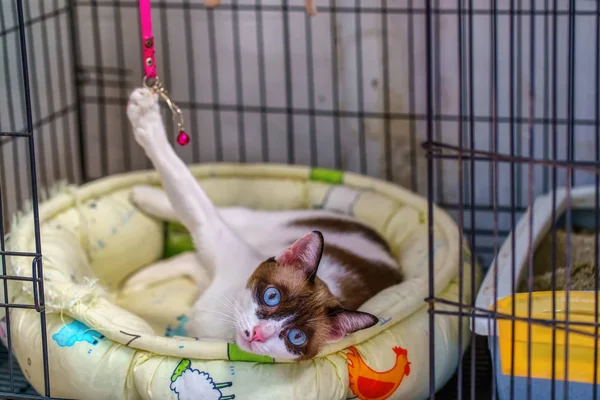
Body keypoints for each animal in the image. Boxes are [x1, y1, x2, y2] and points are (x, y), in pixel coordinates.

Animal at [125, 86, 404, 360]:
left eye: (296, 336)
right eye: (272, 296)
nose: (258, 333)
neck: (229, 318)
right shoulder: (221, 240)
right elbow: (184, 184)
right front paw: (146, 118)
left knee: (190, 259)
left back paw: (136, 280)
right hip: (261, 223)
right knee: (221, 215)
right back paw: (144, 196)